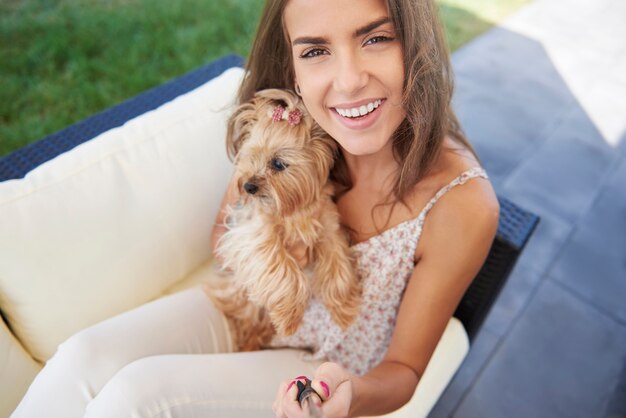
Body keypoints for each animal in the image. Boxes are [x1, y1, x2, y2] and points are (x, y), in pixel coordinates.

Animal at [207, 89, 358, 352]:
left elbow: (337, 268)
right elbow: (284, 270)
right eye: (251, 157)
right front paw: (289, 320)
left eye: (278, 163)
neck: (294, 210)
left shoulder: (330, 229)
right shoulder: (257, 236)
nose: (248, 186)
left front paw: (344, 310)